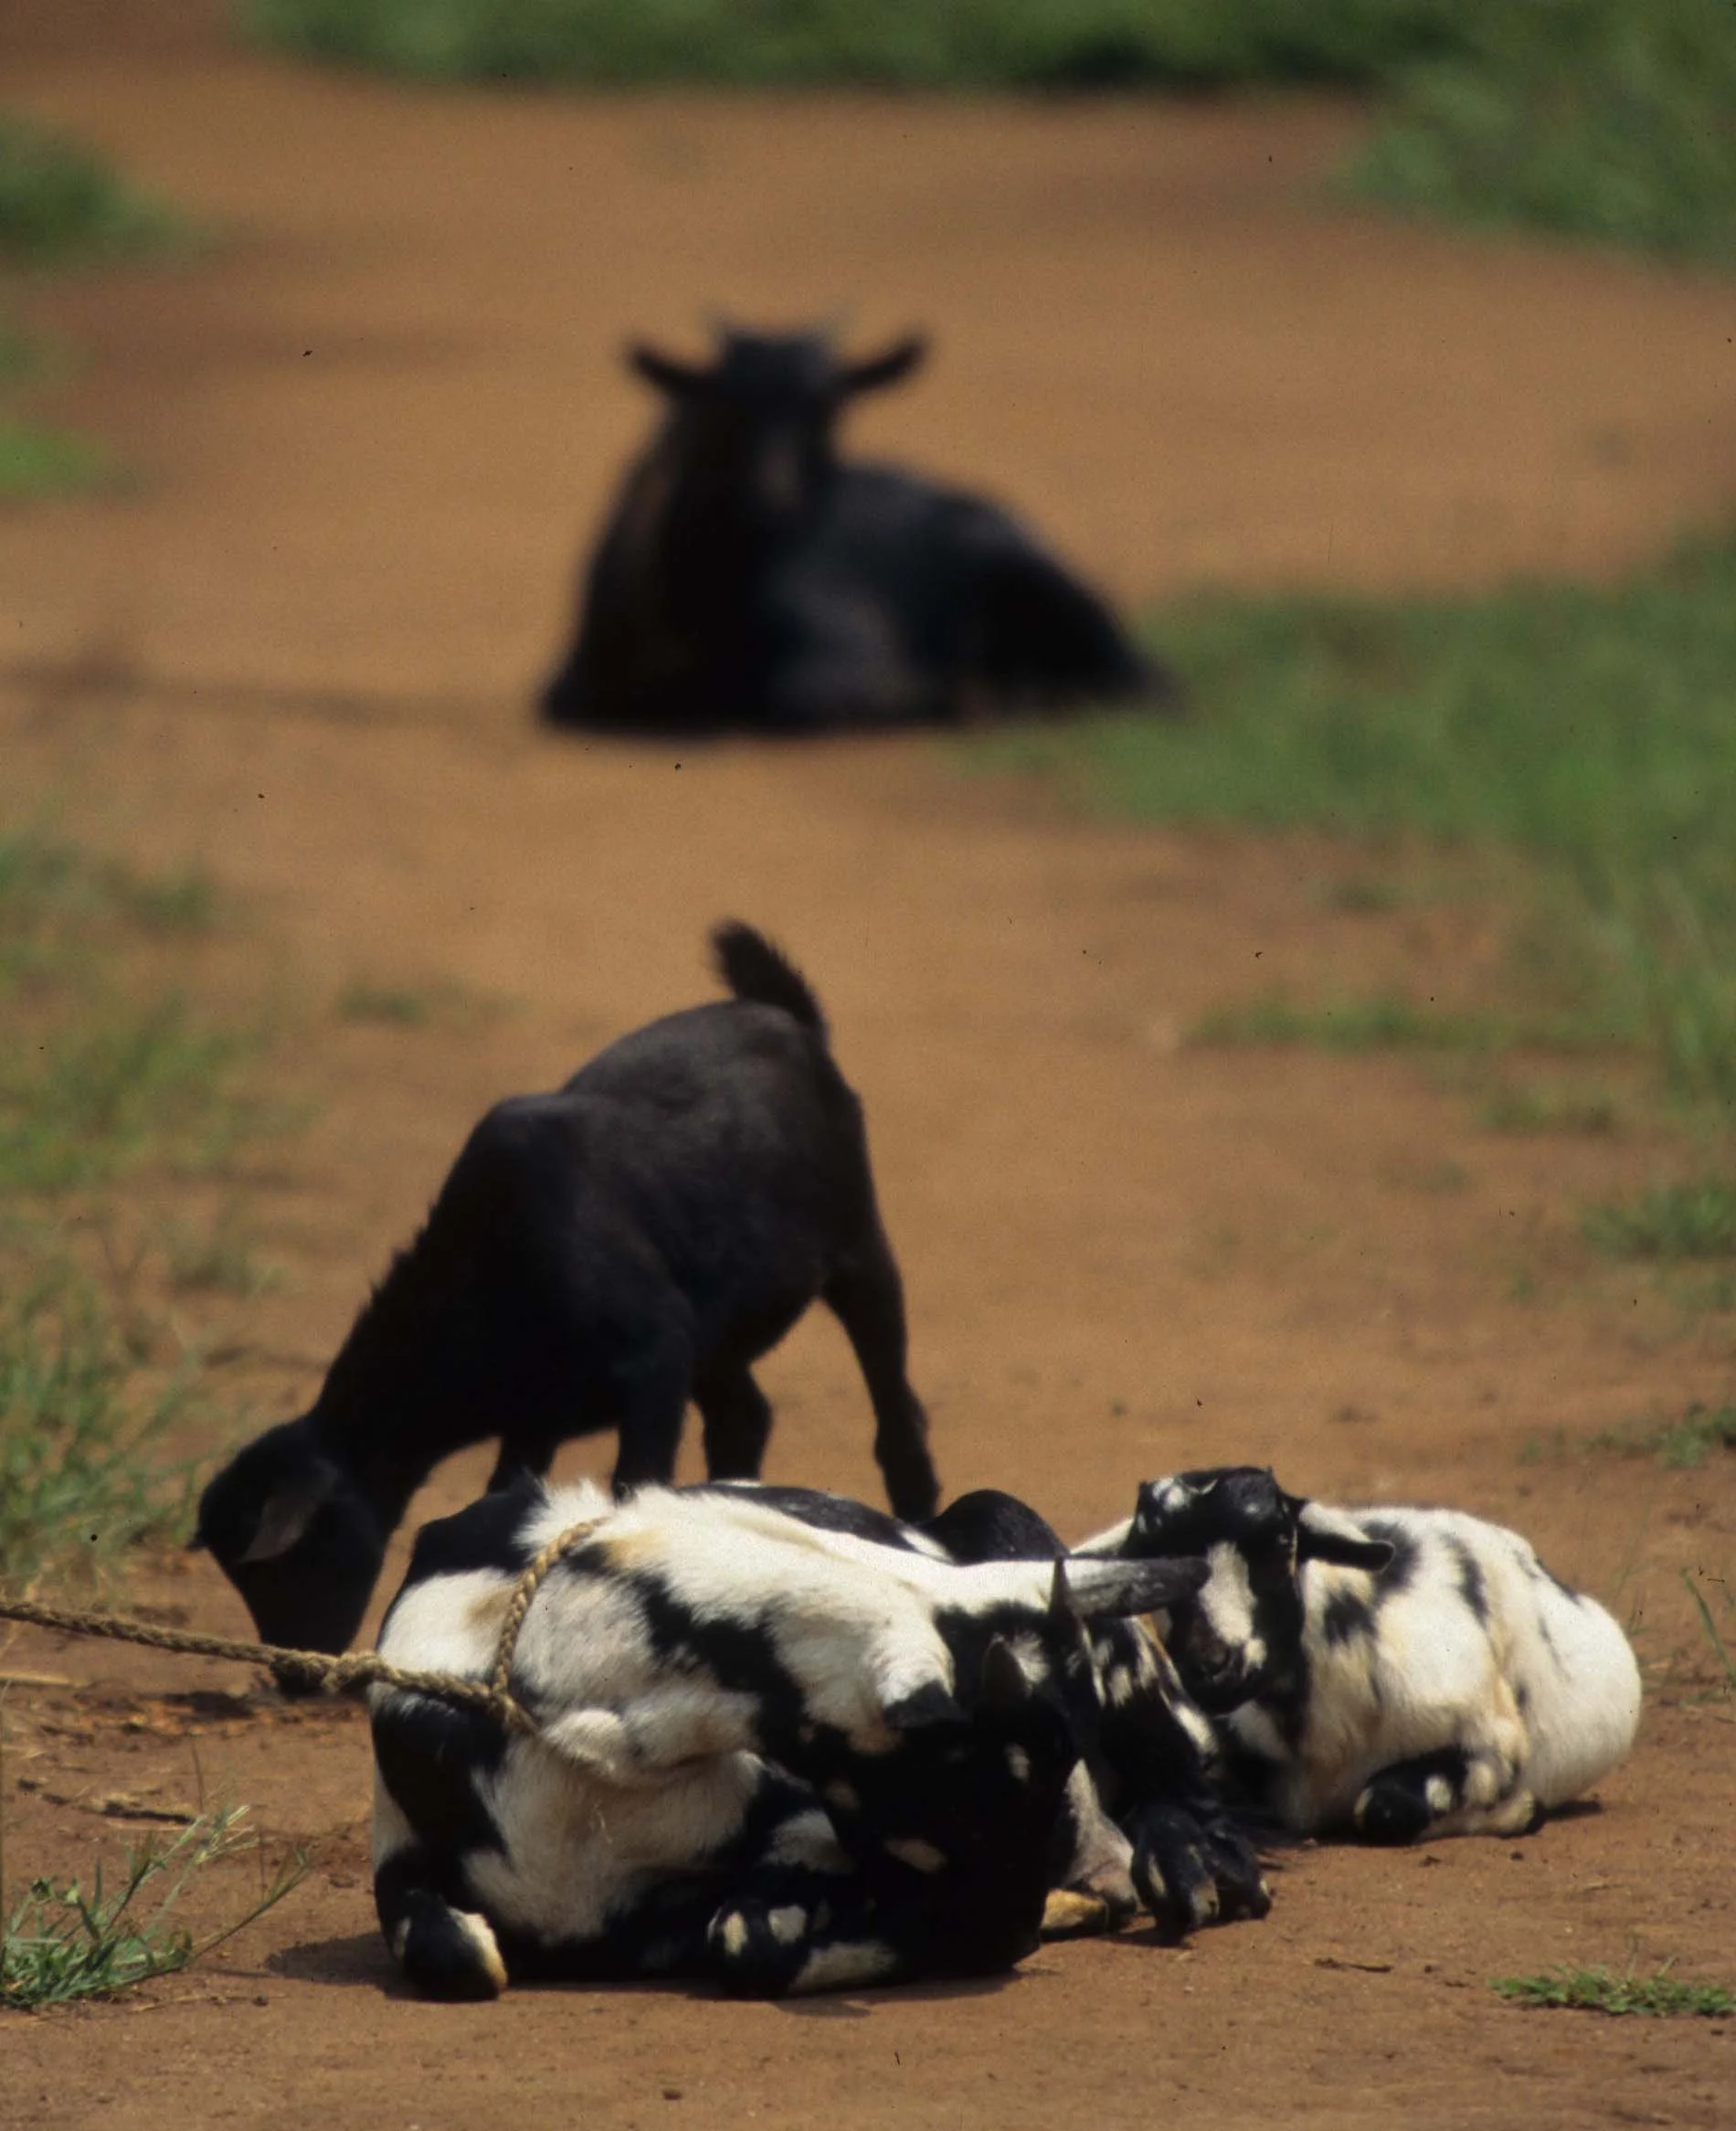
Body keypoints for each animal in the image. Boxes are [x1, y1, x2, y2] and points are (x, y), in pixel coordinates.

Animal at [194, 922, 938, 1659]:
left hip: (855, 1244)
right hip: (716, 1332)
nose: (290, 1666)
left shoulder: (652, 1361)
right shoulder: (536, 1415)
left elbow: (634, 1488)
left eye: (295, 1563)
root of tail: (786, 1014)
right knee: (744, 1414)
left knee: (893, 1403)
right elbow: (505, 1500)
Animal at [539, 326, 1175, 735]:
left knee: (1149, 682)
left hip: (1039, 582)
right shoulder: (563, 692)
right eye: (730, 407)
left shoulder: (845, 652)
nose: (778, 498)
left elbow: (808, 697)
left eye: (828, 411)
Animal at [1082, 1467, 1643, 1843]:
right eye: (1146, 1555)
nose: (1211, 1665)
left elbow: (1383, 1808)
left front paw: (1517, 1811)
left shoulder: (1490, 1747)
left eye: (1281, 1541)